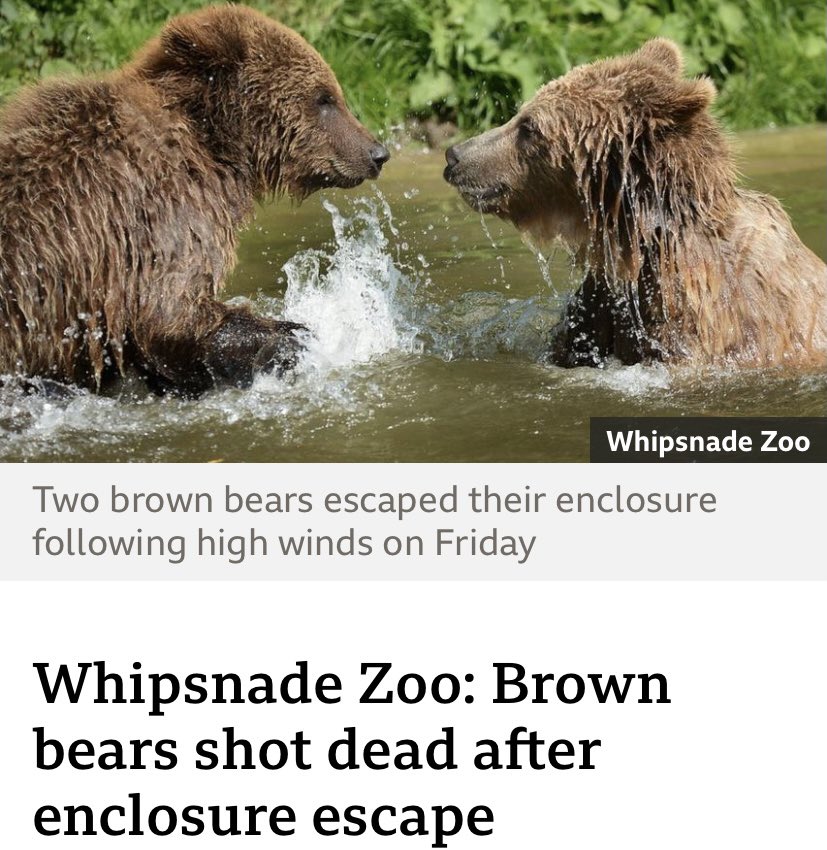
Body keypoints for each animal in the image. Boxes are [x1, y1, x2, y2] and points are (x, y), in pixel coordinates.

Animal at [0, 4, 389, 395]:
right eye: (325, 98)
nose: (378, 153)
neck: (214, 141)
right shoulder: (162, 208)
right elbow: (170, 312)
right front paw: (292, 335)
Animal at [443, 39, 827, 369]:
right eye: (522, 115)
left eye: (529, 128)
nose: (454, 155)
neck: (643, 243)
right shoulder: (599, 306)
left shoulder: (702, 324)